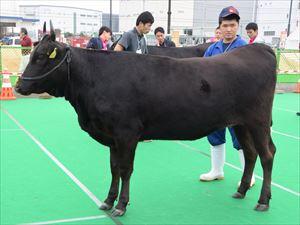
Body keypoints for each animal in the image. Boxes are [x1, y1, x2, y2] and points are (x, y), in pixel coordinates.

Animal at [14, 22, 276, 216]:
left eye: (42, 57)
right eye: (33, 54)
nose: (18, 86)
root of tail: (260, 48)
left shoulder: (126, 133)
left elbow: (125, 169)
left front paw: (121, 205)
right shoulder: (111, 136)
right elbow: (113, 168)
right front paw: (108, 200)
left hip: (259, 121)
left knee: (267, 155)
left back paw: (263, 200)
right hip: (240, 123)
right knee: (250, 153)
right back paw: (241, 190)